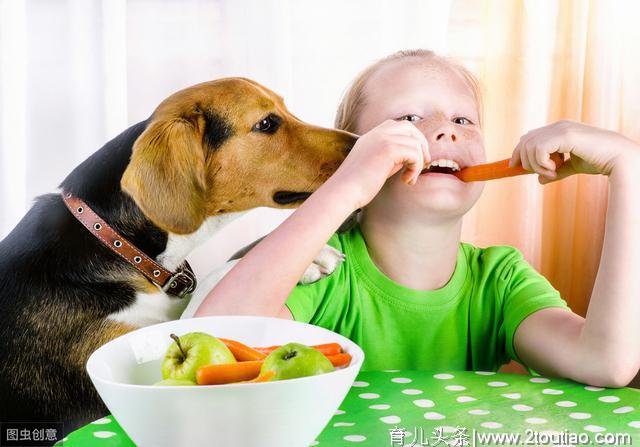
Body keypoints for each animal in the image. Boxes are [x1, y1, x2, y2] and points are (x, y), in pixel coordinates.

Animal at [0, 78, 356, 438]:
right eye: (267, 123)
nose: (358, 143)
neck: (116, 242)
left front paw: (312, 255)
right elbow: (218, 279)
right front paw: (309, 259)